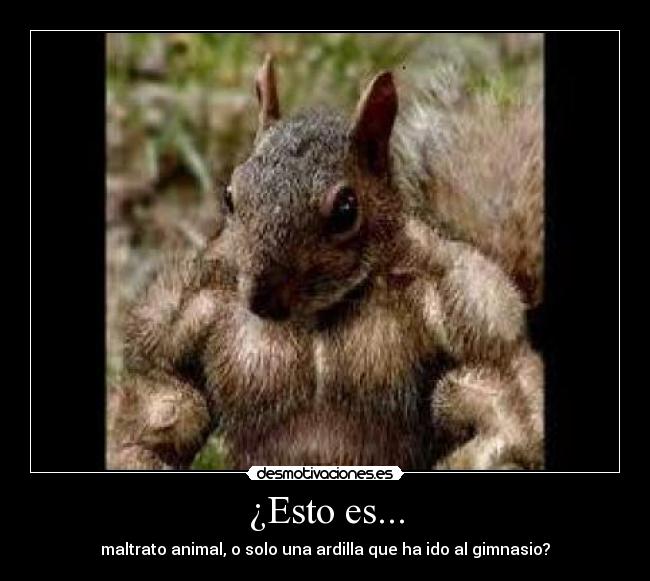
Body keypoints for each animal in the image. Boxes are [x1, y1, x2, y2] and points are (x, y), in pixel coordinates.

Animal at [107, 54, 544, 470]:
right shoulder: (184, 310)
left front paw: (484, 454)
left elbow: (506, 393)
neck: (316, 316)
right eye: (229, 195)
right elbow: (165, 396)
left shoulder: (470, 306)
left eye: (346, 211)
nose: (261, 300)